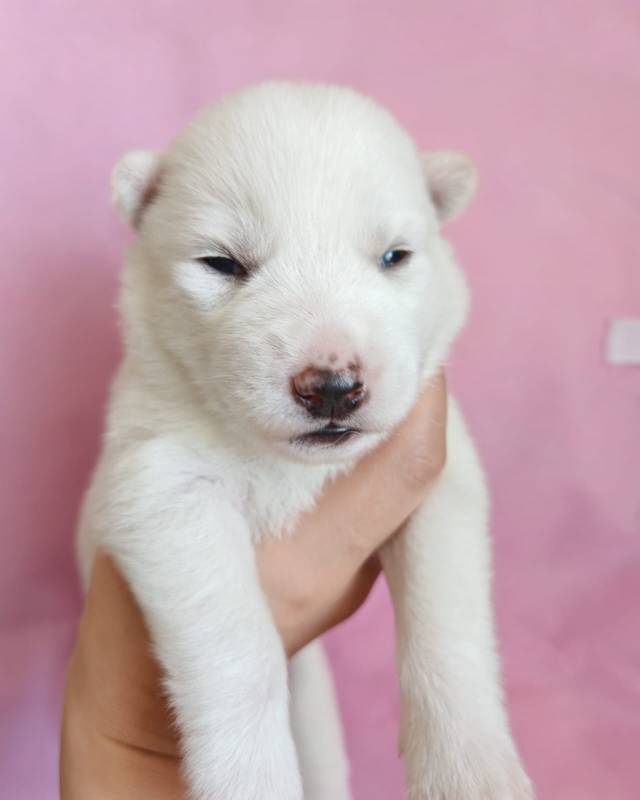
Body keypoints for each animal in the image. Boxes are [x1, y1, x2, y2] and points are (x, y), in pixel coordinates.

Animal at [77, 81, 533, 799]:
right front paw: (249, 777)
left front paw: (469, 768)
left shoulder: (438, 470)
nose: (332, 388)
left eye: (394, 256)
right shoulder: (162, 482)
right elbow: (236, 642)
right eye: (221, 263)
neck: (287, 467)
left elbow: (446, 612)